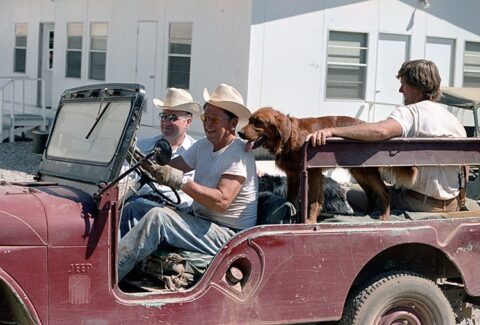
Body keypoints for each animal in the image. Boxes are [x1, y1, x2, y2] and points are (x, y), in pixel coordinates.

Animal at [240, 106, 416, 223]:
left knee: (384, 191)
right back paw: (364, 215)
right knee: (371, 193)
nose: (240, 133)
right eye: (249, 120)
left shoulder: (313, 172)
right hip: (359, 172)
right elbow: (291, 199)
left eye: (258, 122)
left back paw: (383, 216)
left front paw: (309, 221)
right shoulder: (293, 176)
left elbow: (313, 200)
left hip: (366, 173)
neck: (289, 137)